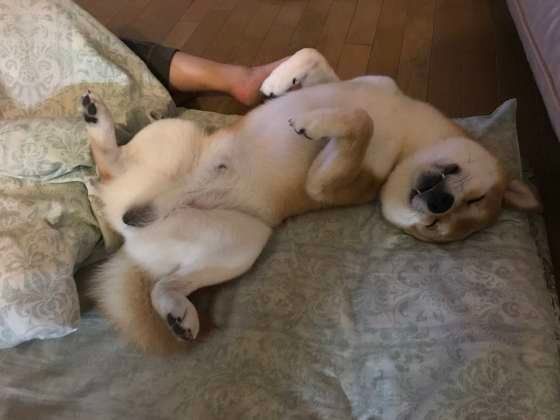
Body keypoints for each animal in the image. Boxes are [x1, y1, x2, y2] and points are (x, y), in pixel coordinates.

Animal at [84, 48, 540, 353]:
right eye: (474, 198)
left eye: (433, 228)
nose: (440, 203)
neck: (406, 139)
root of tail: (130, 231)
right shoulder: (361, 85)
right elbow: (314, 57)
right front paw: (278, 81)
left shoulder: (327, 184)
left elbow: (360, 121)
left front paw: (314, 123)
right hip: (179, 139)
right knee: (110, 171)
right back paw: (98, 122)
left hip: (243, 241)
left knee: (159, 273)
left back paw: (178, 313)